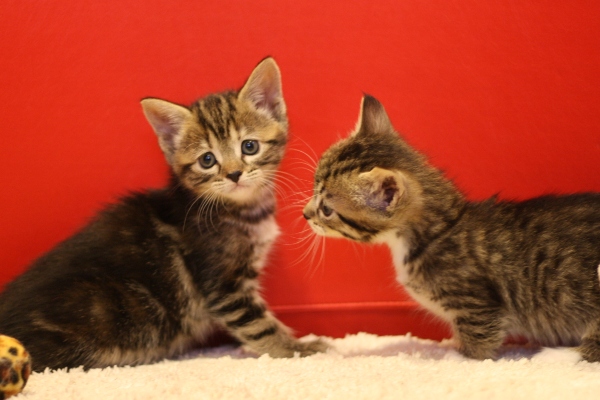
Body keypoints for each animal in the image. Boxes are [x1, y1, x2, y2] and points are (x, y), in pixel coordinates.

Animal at [0, 57, 326, 372]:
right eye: (207, 160)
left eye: (249, 146)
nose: (234, 174)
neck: (243, 210)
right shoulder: (225, 285)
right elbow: (260, 325)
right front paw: (298, 349)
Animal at [304, 95, 600, 360]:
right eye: (314, 187)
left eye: (326, 209)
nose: (305, 214)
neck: (439, 230)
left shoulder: (478, 307)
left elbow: (477, 345)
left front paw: (456, 357)